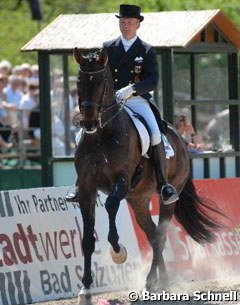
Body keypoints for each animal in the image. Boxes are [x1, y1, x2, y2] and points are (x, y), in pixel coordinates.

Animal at [72, 47, 222, 304]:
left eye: (101, 83)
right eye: (79, 81)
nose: (89, 122)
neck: (101, 135)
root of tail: (181, 140)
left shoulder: (121, 181)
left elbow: (111, 205)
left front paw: (118, 251)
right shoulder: (86, 189)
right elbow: (88, 240)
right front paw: (86, 289)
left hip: (167, 198)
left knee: (160, 234)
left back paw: (154, 282)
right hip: (139, 200)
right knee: (153, 234)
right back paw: (160, 281)